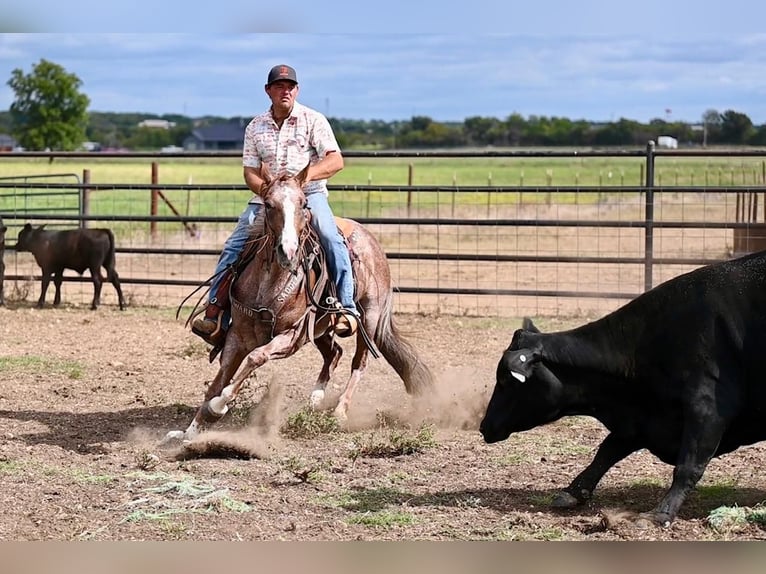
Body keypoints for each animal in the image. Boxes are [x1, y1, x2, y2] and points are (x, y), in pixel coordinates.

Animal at [164, 166, 436, 446]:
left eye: (304, 203)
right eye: (268, 204)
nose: (288, 251)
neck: (267, 283)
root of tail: (373, 243)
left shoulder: (290, 337)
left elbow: (254, 358)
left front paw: (219, 406)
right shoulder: (237, 337)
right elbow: (217, 382)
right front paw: (190, 431)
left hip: (368, 318)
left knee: (358, 363)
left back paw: (340, 410)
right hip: (319, 328)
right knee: (334, 352)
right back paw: (315, 399)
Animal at [484, 250, 766, 528]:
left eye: (506, 380)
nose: (484, 426)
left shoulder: (707, 409)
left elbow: (688, 465)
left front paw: (660, 514)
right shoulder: (641, 419)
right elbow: (607, 451)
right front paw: (573, 491)